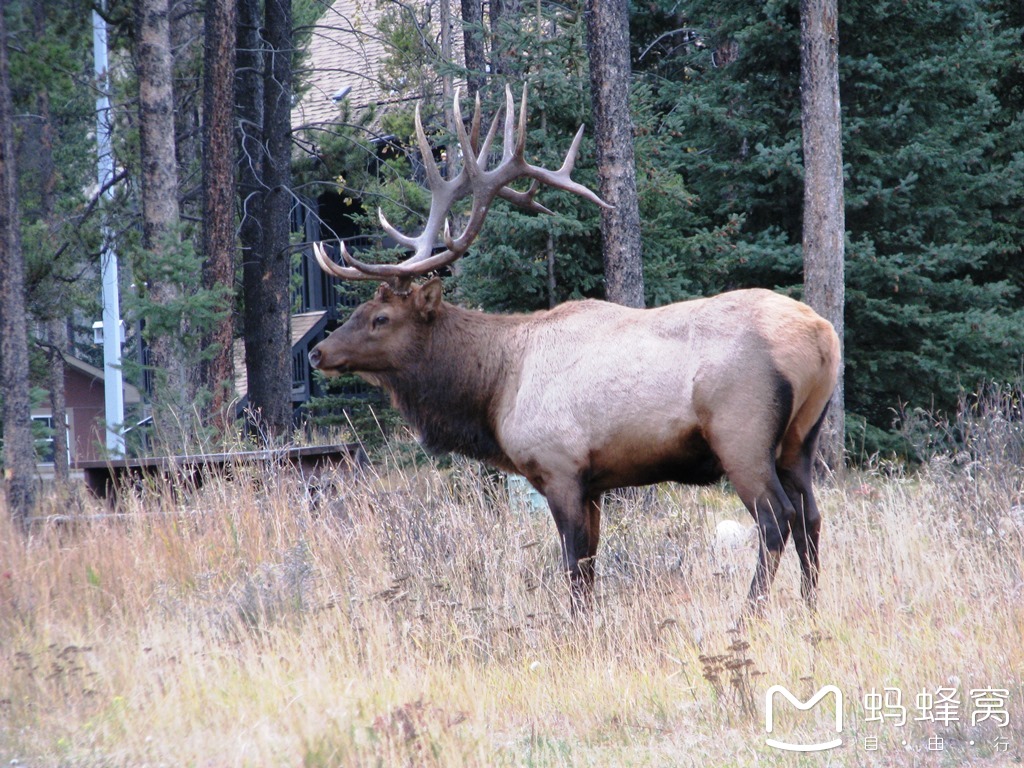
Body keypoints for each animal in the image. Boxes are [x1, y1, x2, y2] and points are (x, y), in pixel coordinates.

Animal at [309, 85, 839, 614]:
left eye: (381, 318)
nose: (318, 353)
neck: (495, 389)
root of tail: (823, 336)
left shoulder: (559, 466)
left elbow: (573, 564)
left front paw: (578, 623)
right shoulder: (594, 482)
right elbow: (589, 562)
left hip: (741, 433)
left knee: (776, 518)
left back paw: (750, 612)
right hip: (801, 438)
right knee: (811, 516)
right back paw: (811, 604)